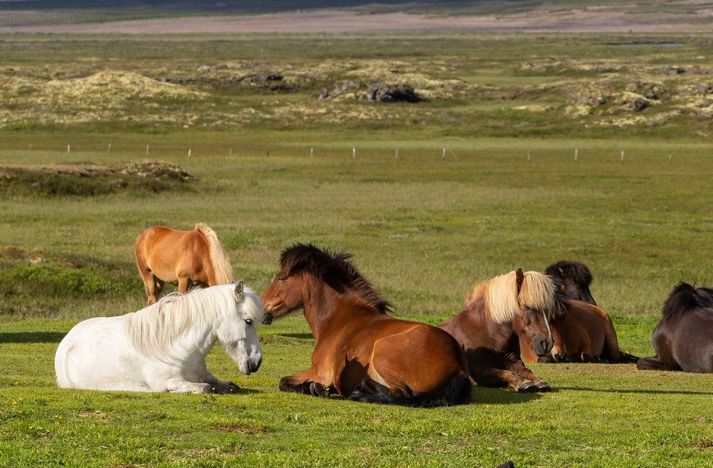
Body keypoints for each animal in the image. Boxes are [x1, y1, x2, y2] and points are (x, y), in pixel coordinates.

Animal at [53, 284, 264, 394]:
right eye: (248, 321)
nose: (257, 361)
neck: (177, 349)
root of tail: (67, 339)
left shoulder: (206, 375)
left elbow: (226, 385)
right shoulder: (167, 383)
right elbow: (204, 388)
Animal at [258, 243, 470, 408]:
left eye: (281, 279)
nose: (260, 307)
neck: (339, 320)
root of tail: (457, 363)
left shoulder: (320, 371)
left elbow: (283, 381)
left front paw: (316, 388)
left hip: (383, 351)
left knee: (401, 394)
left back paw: (361, 389)